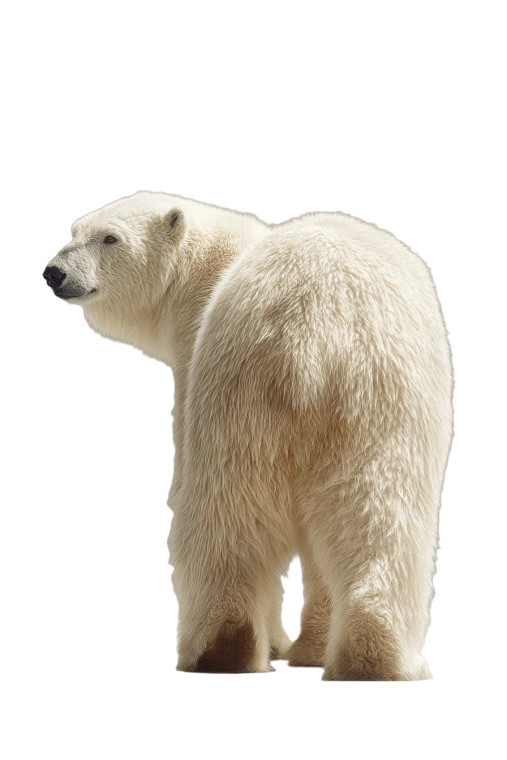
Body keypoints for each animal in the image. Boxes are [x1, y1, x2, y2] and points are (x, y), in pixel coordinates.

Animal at [43, 192, 453, 680]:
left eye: (110, 237)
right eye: (74, 229)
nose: (54, 272)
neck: (204, 272)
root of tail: (313, 329)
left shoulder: (193, 352)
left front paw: (298, 648)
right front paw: (308, 649)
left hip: (250, 388)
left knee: (225, 514)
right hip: (369, 404)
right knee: (373, 515)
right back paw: (362, 656)